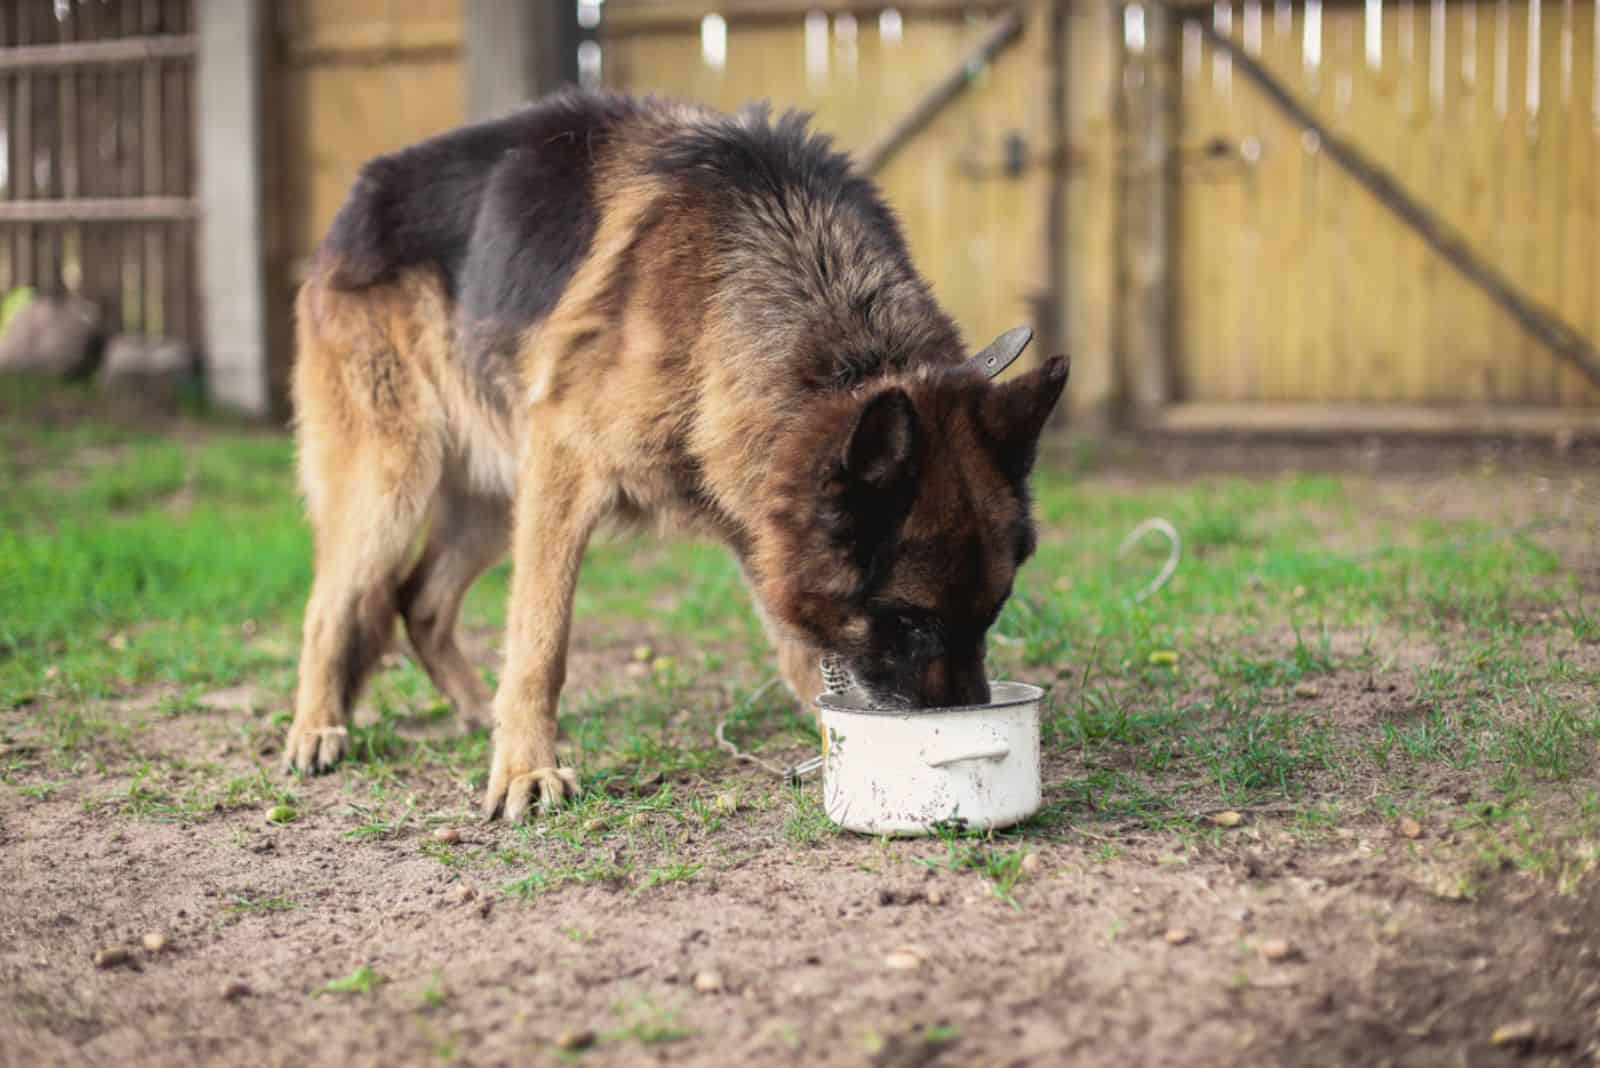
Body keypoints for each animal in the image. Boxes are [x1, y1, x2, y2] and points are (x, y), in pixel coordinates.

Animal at [281, 93, 1068, 824]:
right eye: (911, 622)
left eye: (992, 614)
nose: (967, 715)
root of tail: (357, 199)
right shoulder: (566, 464)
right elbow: (541, 639)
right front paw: (526, 770)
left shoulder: (754, 513)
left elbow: (795, 644)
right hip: (393, 482)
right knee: (331, 604)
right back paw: (316, 730)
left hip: (494, 500)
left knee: (418, 600)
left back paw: (476, 710)